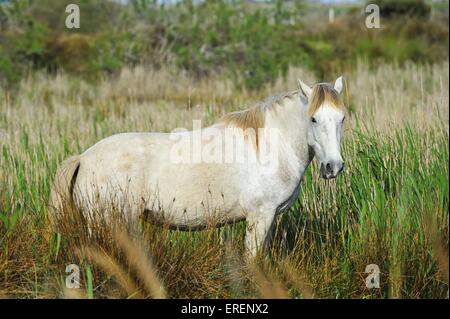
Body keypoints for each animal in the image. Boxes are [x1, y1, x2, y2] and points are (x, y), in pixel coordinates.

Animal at [50, 77, 344, 258]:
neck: (270, 146)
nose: (333, 167)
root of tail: (84, 158)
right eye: (314, 119)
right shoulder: (260, 217)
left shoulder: (268, 220)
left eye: (341, 118)